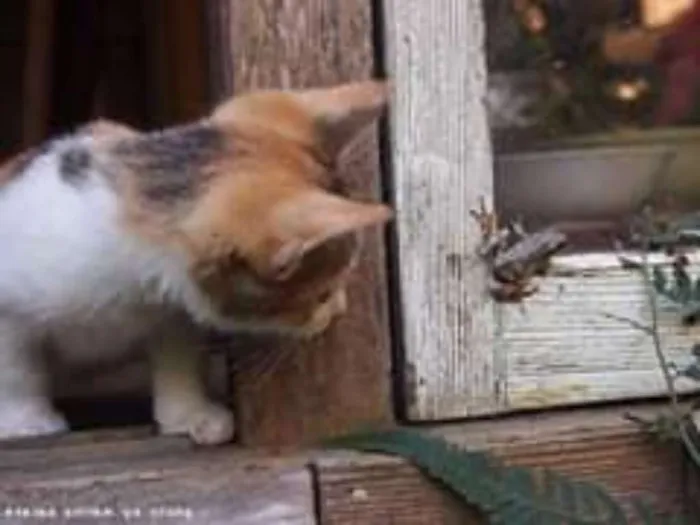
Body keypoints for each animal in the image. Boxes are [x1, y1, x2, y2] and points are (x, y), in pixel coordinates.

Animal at [0, 80, 394, 444]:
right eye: (322, 295)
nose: (340, 309)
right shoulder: (9, 306)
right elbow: (17, 367)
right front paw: (26, 421)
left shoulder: (171, 312)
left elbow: (179, 358)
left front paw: (190, 414)